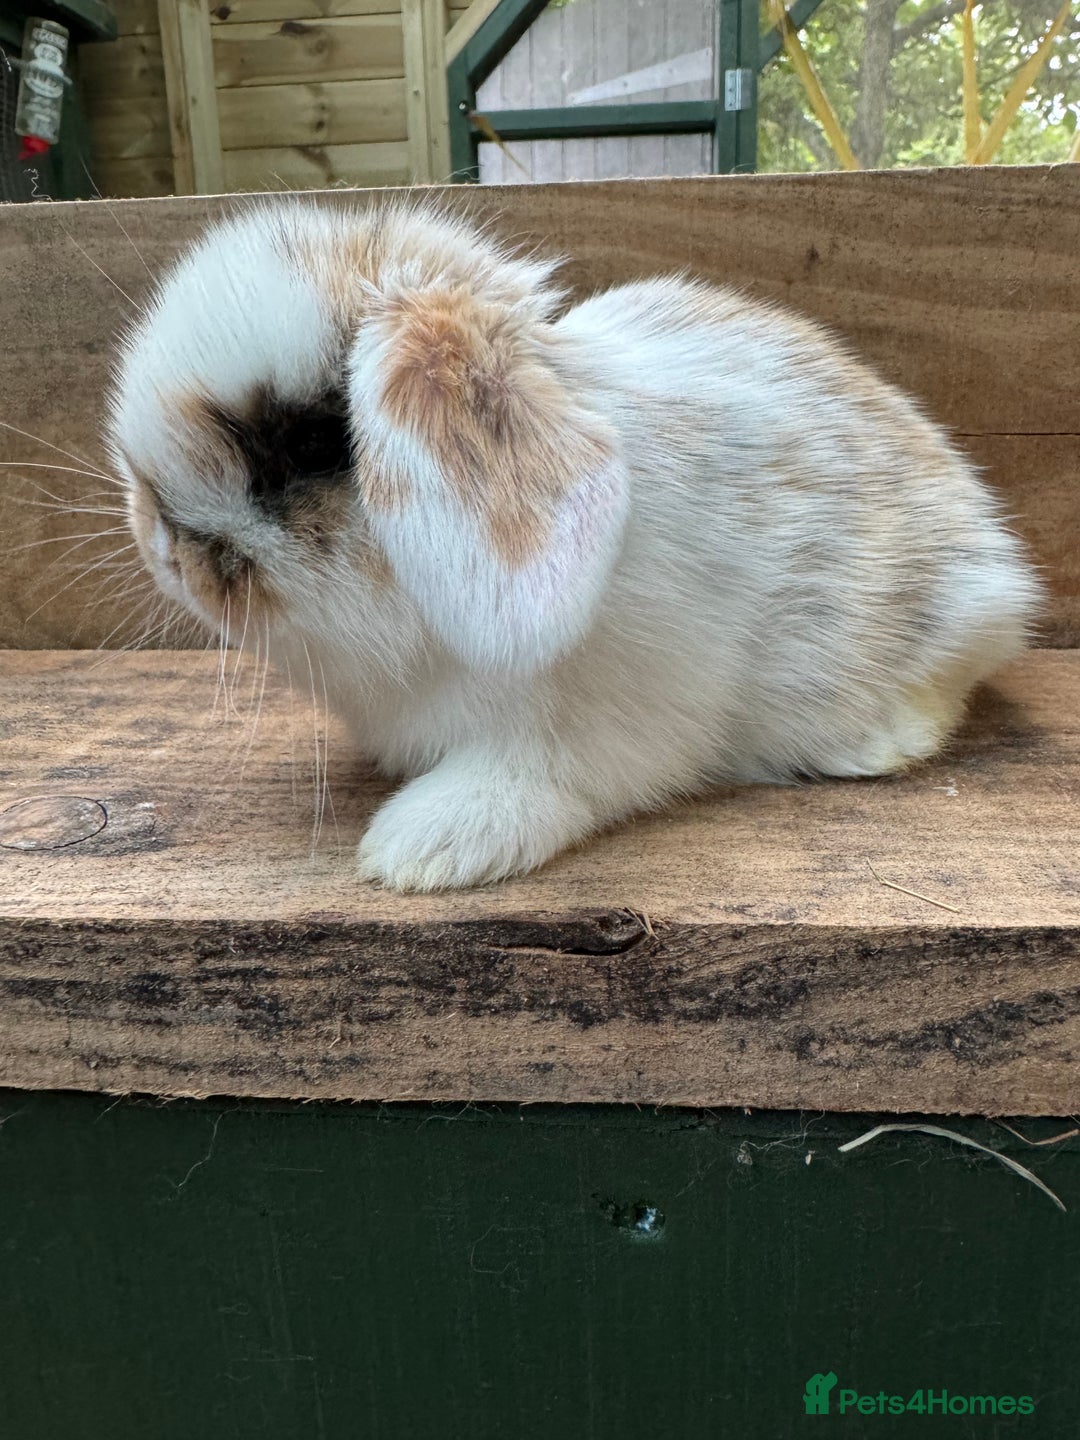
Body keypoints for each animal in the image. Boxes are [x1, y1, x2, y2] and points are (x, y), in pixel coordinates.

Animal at [106, 198, 1041, 892]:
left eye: (309, 445)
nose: (161, 542)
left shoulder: (602, 724)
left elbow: (543, 778)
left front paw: (418, 851)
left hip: (954, 622)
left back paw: (876, 744)